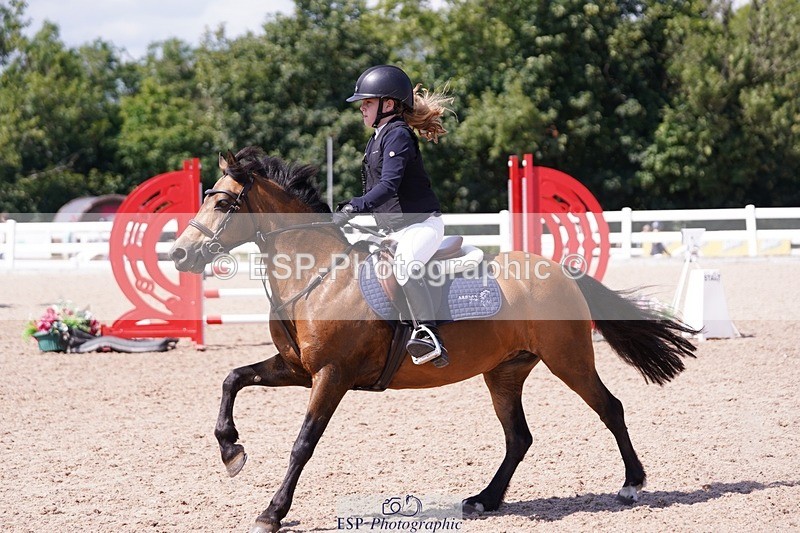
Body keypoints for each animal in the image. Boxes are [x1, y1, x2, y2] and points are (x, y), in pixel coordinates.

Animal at [169, 147, 697, 532]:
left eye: (222, 203)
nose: (178, 254)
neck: (319, 275)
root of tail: (558, 270)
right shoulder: (298, 369)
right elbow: (232, 379)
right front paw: (231, 451)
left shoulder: (331, 376)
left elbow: (303, 443)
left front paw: (272, 511)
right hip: (504, 371)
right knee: (519, 437)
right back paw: (485, 500)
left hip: (568, 360)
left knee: (610, 408)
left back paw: (631, 485)